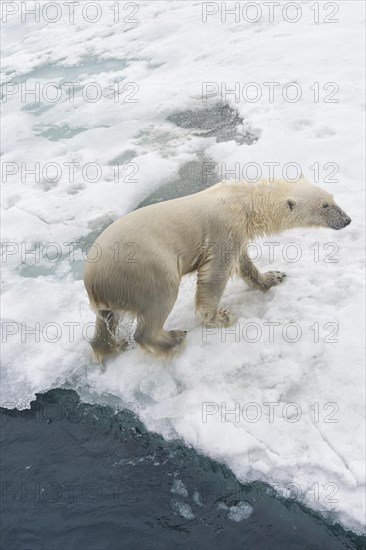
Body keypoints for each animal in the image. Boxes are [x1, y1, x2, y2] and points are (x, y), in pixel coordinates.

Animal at [83, 179, 352, 362]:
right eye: (324, 205)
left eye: (333, 197)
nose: (347, 220)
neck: (244, 200)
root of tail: (91, 279)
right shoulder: (224, 229)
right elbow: (215, 273)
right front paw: (220, 316)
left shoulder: (239, 231)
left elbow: (244, 262)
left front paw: (273, 277)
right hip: (142, 269)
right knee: (159, 300)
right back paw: (173, 339)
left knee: (105, 320)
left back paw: (110, 346)